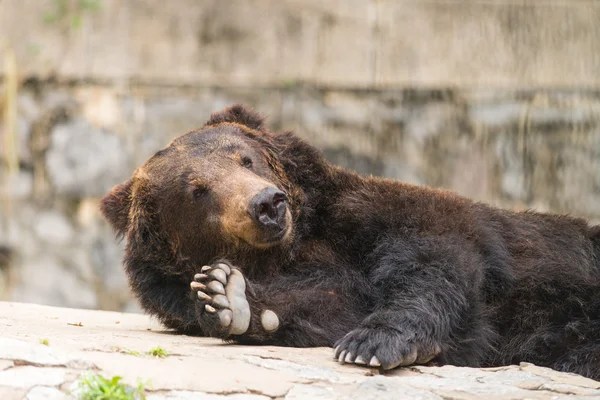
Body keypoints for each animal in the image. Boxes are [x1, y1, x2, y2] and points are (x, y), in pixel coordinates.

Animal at [101, 104, 600, 380]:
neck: (291, 249)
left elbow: (433, 263)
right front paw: (226, 295)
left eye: (245, 158)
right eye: (198, 190)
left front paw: (371, 343)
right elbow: (327, 305)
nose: (267, 204)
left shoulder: (383, 216)